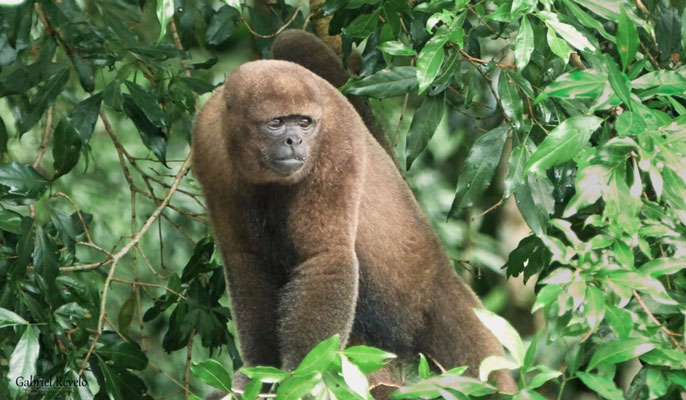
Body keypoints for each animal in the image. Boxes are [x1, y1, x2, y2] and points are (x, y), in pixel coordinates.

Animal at [191, 59, 517, 396]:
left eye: (305, 123)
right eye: (276, 123)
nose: (295, 141)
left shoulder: (336, 139)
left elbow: (327, 256)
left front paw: (300, 379)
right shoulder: (207, 142)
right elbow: (246, 261)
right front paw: (259, 371)